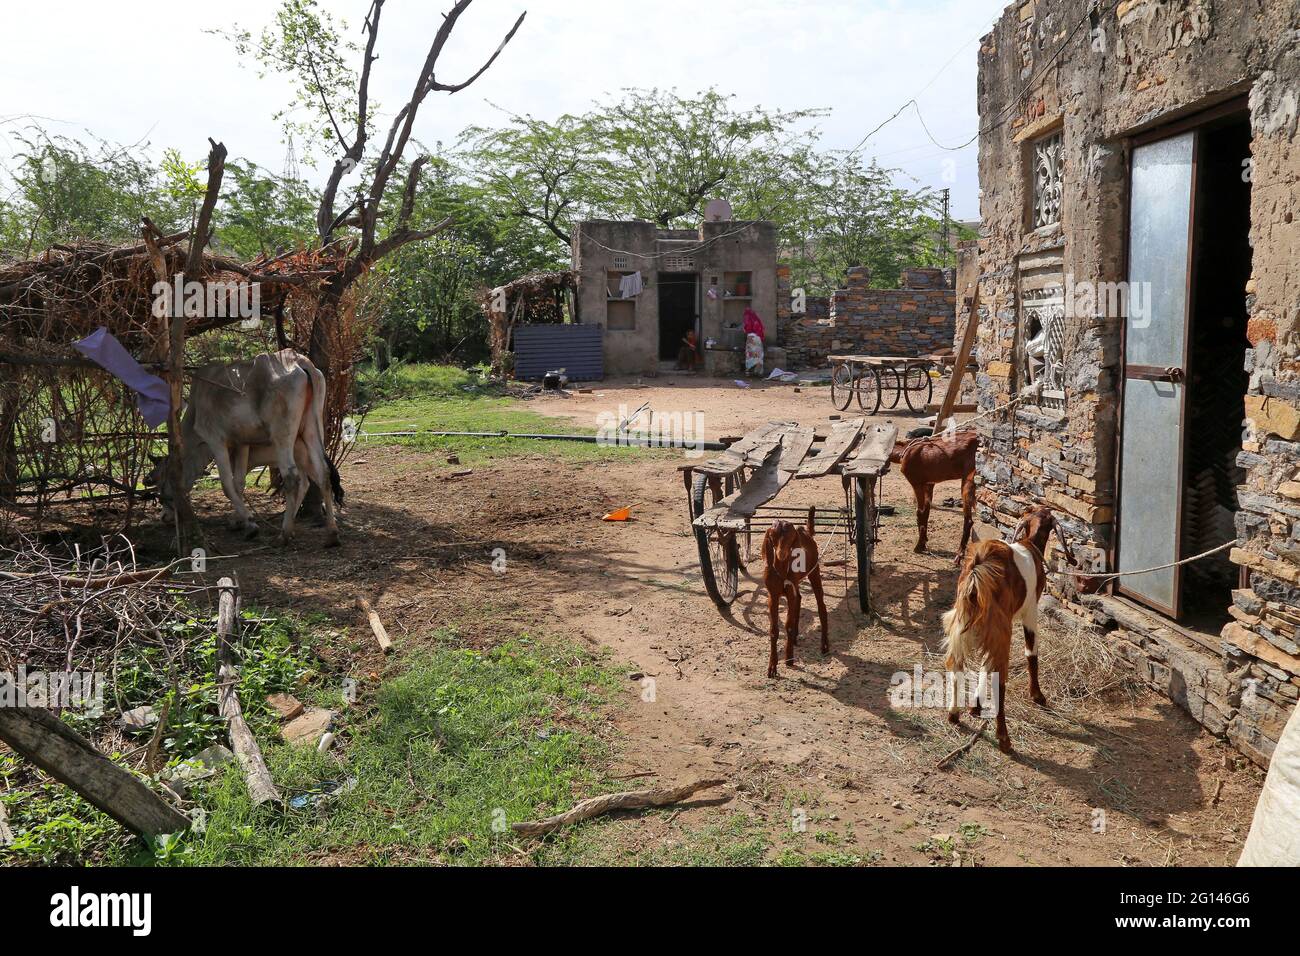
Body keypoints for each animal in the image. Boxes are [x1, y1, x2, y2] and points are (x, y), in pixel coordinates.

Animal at [759, 509, 832, 681]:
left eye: (790, 538)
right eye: (773, 536)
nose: (781, 554)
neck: (780, 569)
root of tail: (806, 532)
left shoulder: (790, 593)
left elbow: (788, 625)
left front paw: (789, 658)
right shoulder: (773, 596)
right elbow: (774, 630)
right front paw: (772, 667)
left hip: (814, 572)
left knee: (821, 606)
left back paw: (824, 645)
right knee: (799, 598)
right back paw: (796, 638)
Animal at [941, 504, 1060, 749]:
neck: (1031, 546)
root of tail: (978, 570)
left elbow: (984, 665)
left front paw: (975, 705)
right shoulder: (1029, 611)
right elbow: (1031, 653)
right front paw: (1038, 696)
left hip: (962, 621)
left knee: (956, 664)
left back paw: (954, 714)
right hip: (1000, 627)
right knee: (1000, 677)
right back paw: (1004, 738)